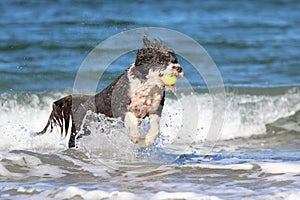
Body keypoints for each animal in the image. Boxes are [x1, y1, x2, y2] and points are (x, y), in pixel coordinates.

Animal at [37, 36, 183, 148]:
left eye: (175, 61)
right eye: (162, 61)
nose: (178, 68)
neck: (146, 85)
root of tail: (84, 100)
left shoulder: (154, 109)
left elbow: (155, 125)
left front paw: (148, 140)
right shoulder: (120, 107)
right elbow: (130, 117)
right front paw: (135, 136)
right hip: (80, 130)